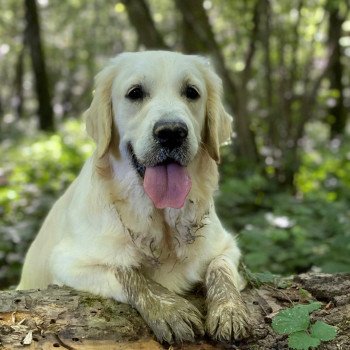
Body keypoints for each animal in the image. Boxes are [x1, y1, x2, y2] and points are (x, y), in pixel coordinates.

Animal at [17, 50, 250, 344]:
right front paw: (169, 309)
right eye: (135, 93)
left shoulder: (227, 247)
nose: (172, 132)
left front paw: (229, 311)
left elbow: (220, 269)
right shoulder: (67, 262)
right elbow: (126, 271)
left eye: (192, 92)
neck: (159, 218)